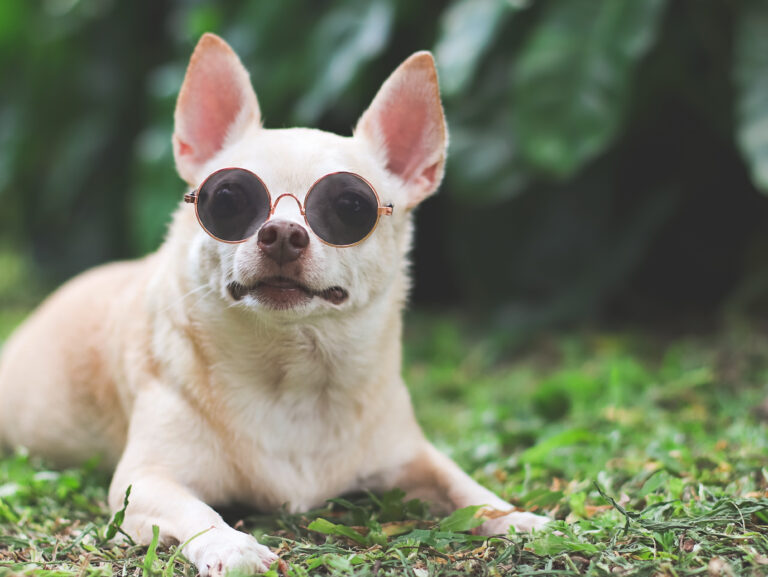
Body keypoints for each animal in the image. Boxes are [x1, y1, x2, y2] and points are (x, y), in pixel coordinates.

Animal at [1, 35, 552, 572]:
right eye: (227, 200)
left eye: (350, 207)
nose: (283, 233)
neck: (293, 373)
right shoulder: (144, 482)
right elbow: (197, 511)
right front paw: (232, 547)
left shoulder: (412, 456)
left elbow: (464, 486)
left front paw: (515, 516)